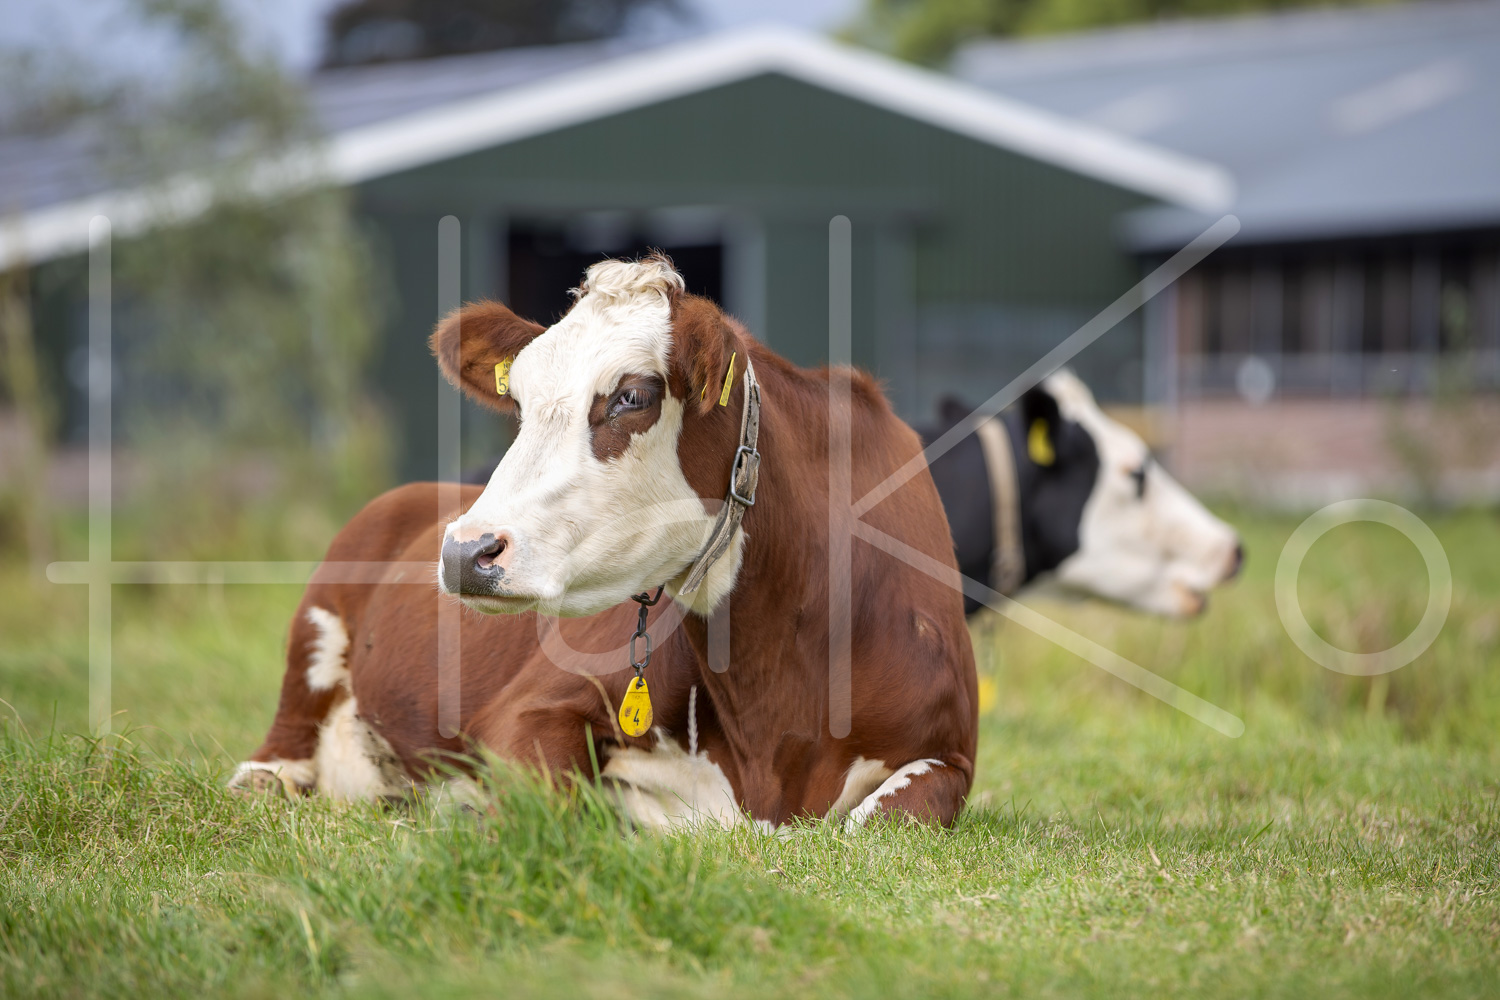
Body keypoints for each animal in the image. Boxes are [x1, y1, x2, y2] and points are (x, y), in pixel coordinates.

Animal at [231, 257, 978, 829]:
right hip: (317, 622)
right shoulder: (526, 713)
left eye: (631, 396)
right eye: (520, 402)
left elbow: (881, 819)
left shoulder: (951, 757)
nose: (467, 551)